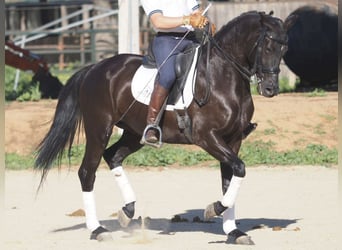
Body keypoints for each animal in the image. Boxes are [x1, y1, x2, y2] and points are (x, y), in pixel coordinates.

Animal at [35, 11, 296, 244]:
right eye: (268, 47)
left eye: (284, 49)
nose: (271, 89)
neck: (223, 76)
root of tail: (94, 68)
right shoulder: (207, 137)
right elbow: (239, 169)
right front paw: (214, 209)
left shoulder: (233, 139)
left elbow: (230, 178)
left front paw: (233, 231)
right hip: (99, 129)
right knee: (87, 172)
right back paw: (98, 229)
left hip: (133, 133)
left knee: (113, 156)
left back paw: (127, 211)